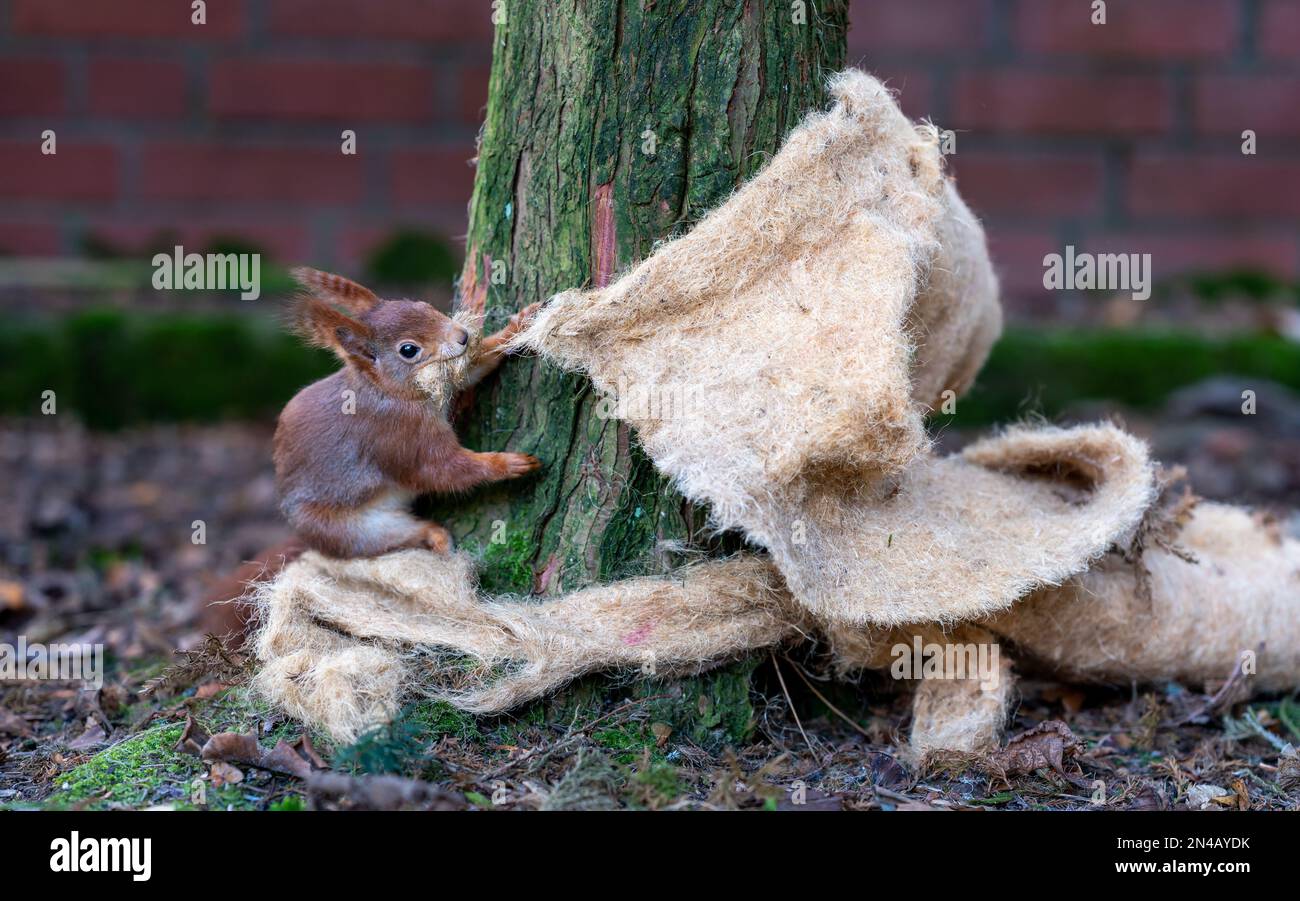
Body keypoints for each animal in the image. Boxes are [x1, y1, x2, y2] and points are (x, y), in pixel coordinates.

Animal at [271, 269, 540, 556]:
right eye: (408, 350)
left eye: (423, 305)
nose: (463, 336)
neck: (390, 392)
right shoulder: (403, 437)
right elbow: (442, 471)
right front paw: (509, 463)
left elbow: (475, 366)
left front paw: (518, 325)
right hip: (349, 530)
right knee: (397, 536)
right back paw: (437, 539)